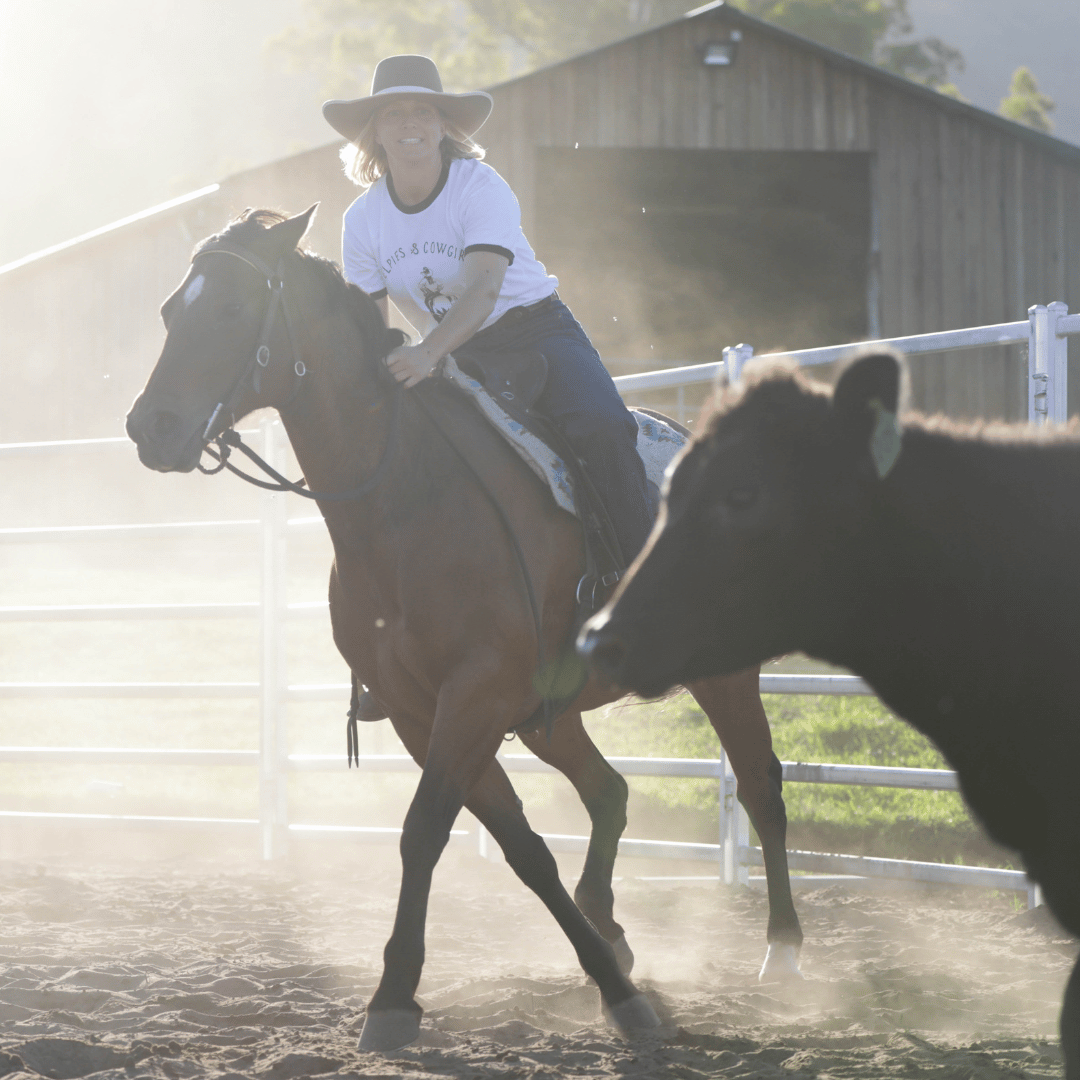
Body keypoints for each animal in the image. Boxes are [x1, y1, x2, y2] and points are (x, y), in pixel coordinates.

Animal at [126, 206, 803, 1049]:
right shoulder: (424, 710)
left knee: (761, 789)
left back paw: (783, 956)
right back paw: (612, 926)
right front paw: (607, 978)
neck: (404, 498)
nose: (151, 427)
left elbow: (424, 831)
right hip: (549, 715)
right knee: (610, 792)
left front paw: (394, 995)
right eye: (167, 312)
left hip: (722, 675)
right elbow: (520, 847)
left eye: (228, 308)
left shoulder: (474, 696)